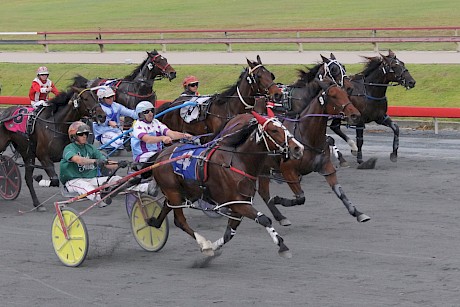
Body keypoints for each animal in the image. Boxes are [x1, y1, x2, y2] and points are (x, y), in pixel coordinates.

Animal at [0, 82, 104, 212]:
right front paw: (39, 178)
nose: (102, 115)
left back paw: (37, 204)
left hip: (27, 153)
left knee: (27, 178)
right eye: (85, 98)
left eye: (96, 97)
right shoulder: (43, 156)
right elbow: (54, 180)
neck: (56, 125)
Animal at [146, 112, 304, 258]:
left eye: (283, 126)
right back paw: (203, 243)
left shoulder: (239, 205)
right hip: (173, 192)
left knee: (167, 207)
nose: (298, 148)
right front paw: (282, 246)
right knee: (180, 220)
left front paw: (214, 247)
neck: (238, 162)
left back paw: (154, 223)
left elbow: (229, 234)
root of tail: (161, 155)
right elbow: (264, 219)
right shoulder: (238, 204)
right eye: (274, 130)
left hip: (185, 193)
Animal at [258, 77, 370, 226]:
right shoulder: (288, 171)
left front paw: (358, 213)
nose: (355, 115)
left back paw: (280, 217)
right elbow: (300, 198)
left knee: (263, 192)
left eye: (346, 94)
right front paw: (278, 199)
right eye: (334, 96)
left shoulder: (326, 167)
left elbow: (340, 192)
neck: (308, 137)